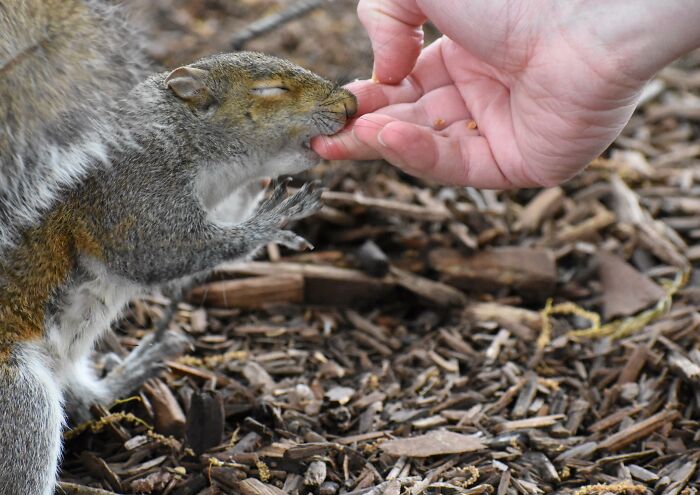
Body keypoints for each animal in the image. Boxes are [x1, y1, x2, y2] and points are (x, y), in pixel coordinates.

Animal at [0, 2, 357, 494]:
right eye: (272, 90)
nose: (351, 106)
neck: (187, 139)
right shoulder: (129, 187)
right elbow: (163, 250)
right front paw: (271, 221)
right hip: (19, 398)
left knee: (81, 394)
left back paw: (127, 373)